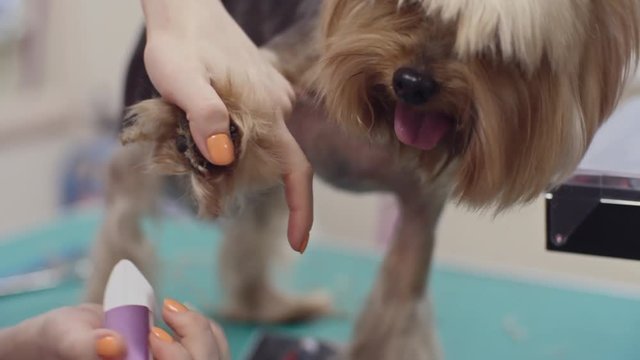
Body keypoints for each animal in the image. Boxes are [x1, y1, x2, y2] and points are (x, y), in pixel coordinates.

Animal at [86, 1, 640, 358]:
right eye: (405, 4)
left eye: (495, 47)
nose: (413, 82)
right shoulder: (278, 62)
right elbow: (247, 88)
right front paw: (216, 136)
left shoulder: (420, 213)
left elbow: (397, 302)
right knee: (122, 214)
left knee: (255, 231)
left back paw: (270, 307)